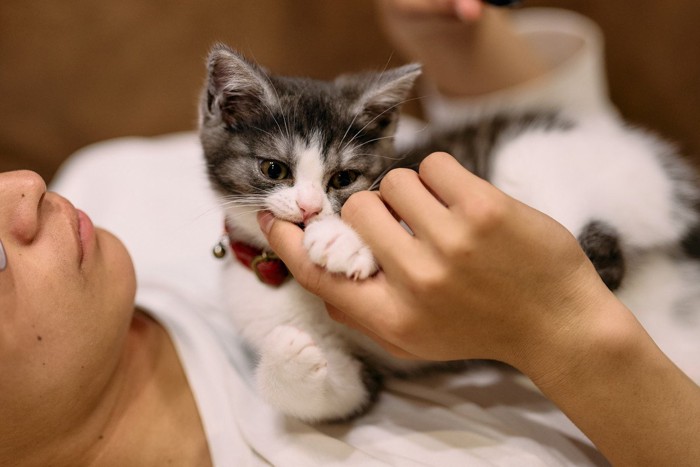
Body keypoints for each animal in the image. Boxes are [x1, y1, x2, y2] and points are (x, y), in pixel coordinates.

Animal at [197, 44, 700, 424]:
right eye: (273, 169)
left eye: (343, 179)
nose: (309, 209)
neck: (286, 274)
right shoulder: (355, 377)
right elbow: (334, 395)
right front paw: (290, 354)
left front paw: (345, 238)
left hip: (535, 155)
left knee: (593, 243)